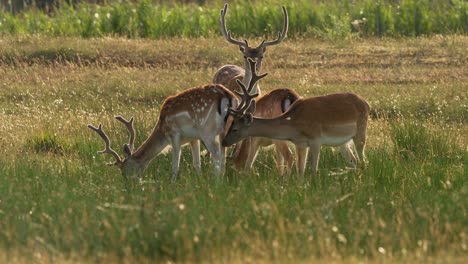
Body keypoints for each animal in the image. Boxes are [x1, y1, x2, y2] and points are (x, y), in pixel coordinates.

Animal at [87, 84, 238, 179]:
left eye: (125, 170)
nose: (129, 185)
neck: (162, 130)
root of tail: (227, 96)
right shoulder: (193, 138)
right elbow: (197, 164)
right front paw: (199, 181)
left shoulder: (174, 134)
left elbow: (175, 165)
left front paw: (172, 184)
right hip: (225, 131)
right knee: (223, 155)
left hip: (207, 131)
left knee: (217, 156)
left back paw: (215, 182)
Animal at [221, 58, 372, 176]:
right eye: (230, 124)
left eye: (235, 128)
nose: (224, 142)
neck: (294, 123)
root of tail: (366, 103)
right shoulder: (300, 144)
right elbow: (301, 171)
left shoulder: (316, 139)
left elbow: (313, 170)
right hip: (342, 142)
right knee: (353, 160)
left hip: (361, 132)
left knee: (364, 161)